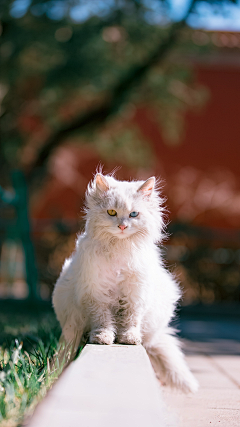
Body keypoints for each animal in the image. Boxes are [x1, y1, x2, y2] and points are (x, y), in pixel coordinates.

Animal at [52, 172, 199, 392]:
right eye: (112, 212)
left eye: (134, 214)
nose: (122, 226)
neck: (119, 249)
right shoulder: (97, 294)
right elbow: (103, 320)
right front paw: (103, 338)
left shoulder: (134, 293)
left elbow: (130, 319)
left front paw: (128, 339)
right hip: (72, 323)